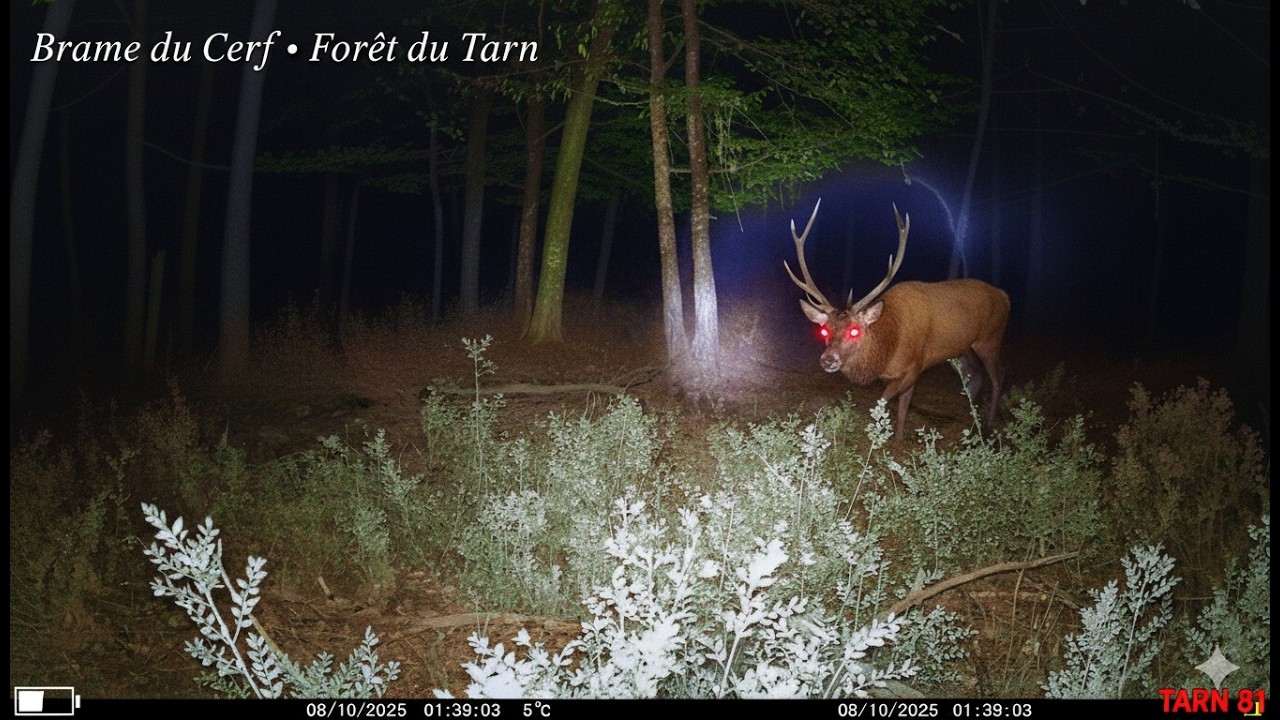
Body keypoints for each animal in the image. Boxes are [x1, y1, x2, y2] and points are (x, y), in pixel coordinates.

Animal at [785, 200, 1010, 441]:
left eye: (854, 330)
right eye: (824, 331)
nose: (828, 360)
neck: (890, 347)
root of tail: (1004, 297)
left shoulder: (915, 365)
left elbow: (884, 400)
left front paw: (883, 438)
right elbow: (903, 404)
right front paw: (898, 438)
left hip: (990, 337)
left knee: (998, 376)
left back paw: (987, 425)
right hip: (962, 348)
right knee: (975, 374)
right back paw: (970, 424)